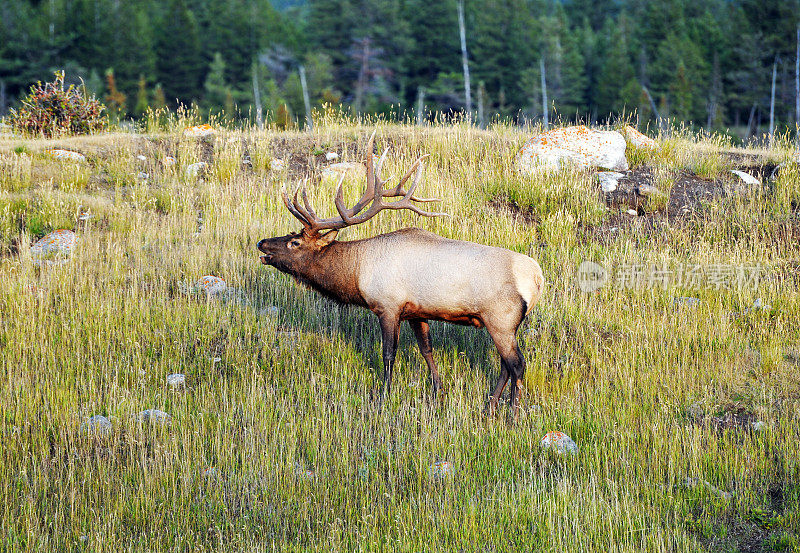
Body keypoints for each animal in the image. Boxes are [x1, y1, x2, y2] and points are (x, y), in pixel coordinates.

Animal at [260, 134, 548, 416]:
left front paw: (382, 397)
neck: (357, 274)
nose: (262, 243)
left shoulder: (388, 306)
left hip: (501, 319)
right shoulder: (416, 312)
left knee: (517, 364)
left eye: (294, 242)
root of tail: (537, 279)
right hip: (503, 324)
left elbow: (388, 354)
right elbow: (426, 350)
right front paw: (438, 390)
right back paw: (489, 406)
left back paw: (513, 414)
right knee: (504, 365)